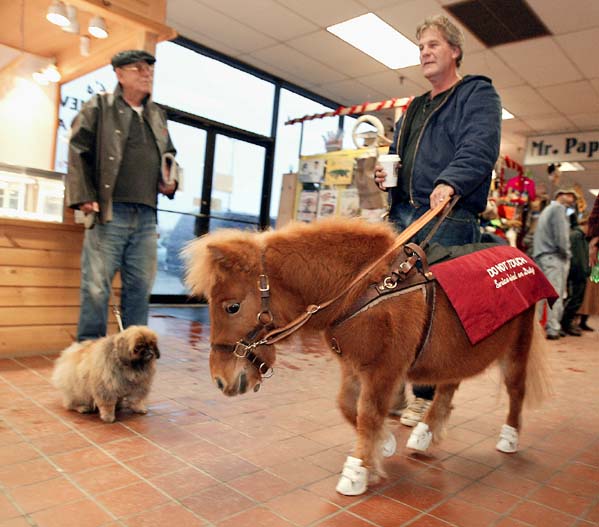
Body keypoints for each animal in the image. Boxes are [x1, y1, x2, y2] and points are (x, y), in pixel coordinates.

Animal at [185, 218, 552, 496]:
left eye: (232, 307)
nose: (220, 380)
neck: (363, 289)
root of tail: (522, 255)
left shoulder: (384, 371)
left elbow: (369, 413)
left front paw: (358, 470)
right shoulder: (353, 367)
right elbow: (349, 407)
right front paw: (384, 443)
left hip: (517, 346)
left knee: (515, 390)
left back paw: (509, 438)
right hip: (459, 351)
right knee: (448, 388)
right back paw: (425, 433)